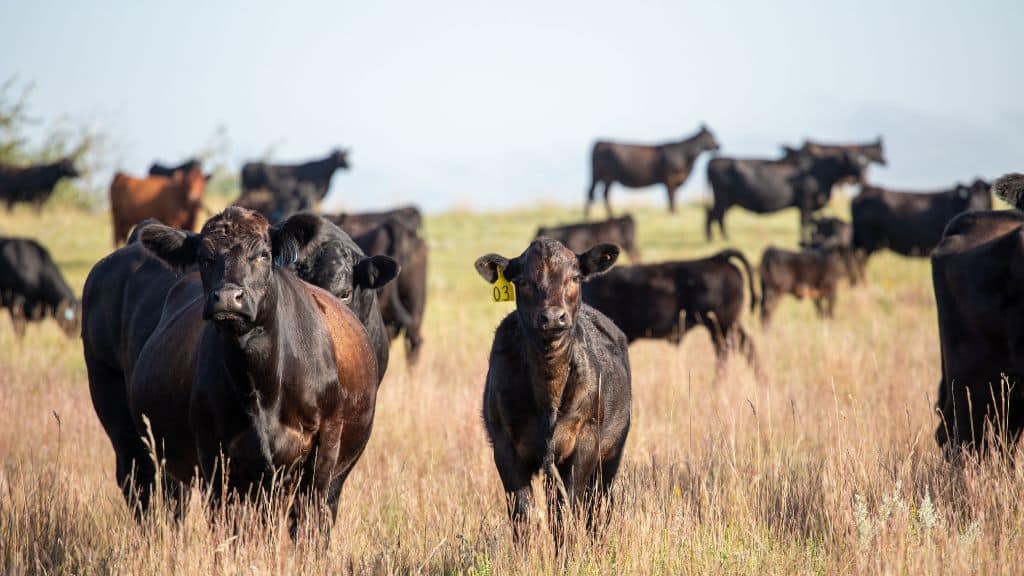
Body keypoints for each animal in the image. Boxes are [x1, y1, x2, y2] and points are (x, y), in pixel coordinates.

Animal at [82, 212, 398, 518]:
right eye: (204, 259)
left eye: (344, 292)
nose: (227, 298)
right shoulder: (219, 458)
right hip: (117, 412)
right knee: (143, 484)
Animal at [475, 239, 630, 546]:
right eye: (523, 281)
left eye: (575, 278)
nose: (553, 317)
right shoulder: (504, 447)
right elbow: (522, 515)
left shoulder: (583, 444)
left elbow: (566, 512)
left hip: (611, 455)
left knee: (597, 506)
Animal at [586, 125, 720, 217]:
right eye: (710, 135)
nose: (719, 145)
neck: (685, 156)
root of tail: (600, 142)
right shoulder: (670, 178)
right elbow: (671, 197)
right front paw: (673, 213)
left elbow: (673, 197)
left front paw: (674, 212)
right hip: (598, 175)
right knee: (591, 193)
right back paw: (590, 216)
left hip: (608, 178)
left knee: (604, 194)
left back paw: (610, 215)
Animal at [705, 151, 864, 242]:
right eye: (853, 162)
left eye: (864, 163)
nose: (862, 176)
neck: (818, 172)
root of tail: (714, 160)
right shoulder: (805, 203)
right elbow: (804, 223)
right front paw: (803, 241)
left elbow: (809, 223)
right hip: (722, 198)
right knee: (717, 216)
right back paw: (724, 239)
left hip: (729, 201)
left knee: (712, 214)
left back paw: (713, 239)